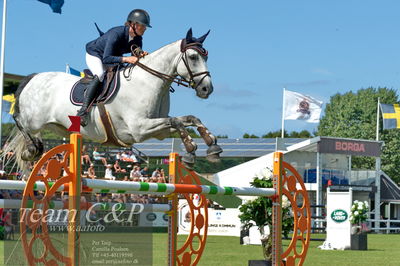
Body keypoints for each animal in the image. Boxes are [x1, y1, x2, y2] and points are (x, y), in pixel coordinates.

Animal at [7, 28, 222, 168]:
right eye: (193, 57)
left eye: (207, 56)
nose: (207, 89)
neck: (149, 81)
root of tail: (34, 77)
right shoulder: (138, 129)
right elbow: (177, 122)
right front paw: (192, 148)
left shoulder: (157, 130)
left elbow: (189, 119)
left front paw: (211, 146)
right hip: (34, 119)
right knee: (18, 120)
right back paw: (32, 149)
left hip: (55, 125)